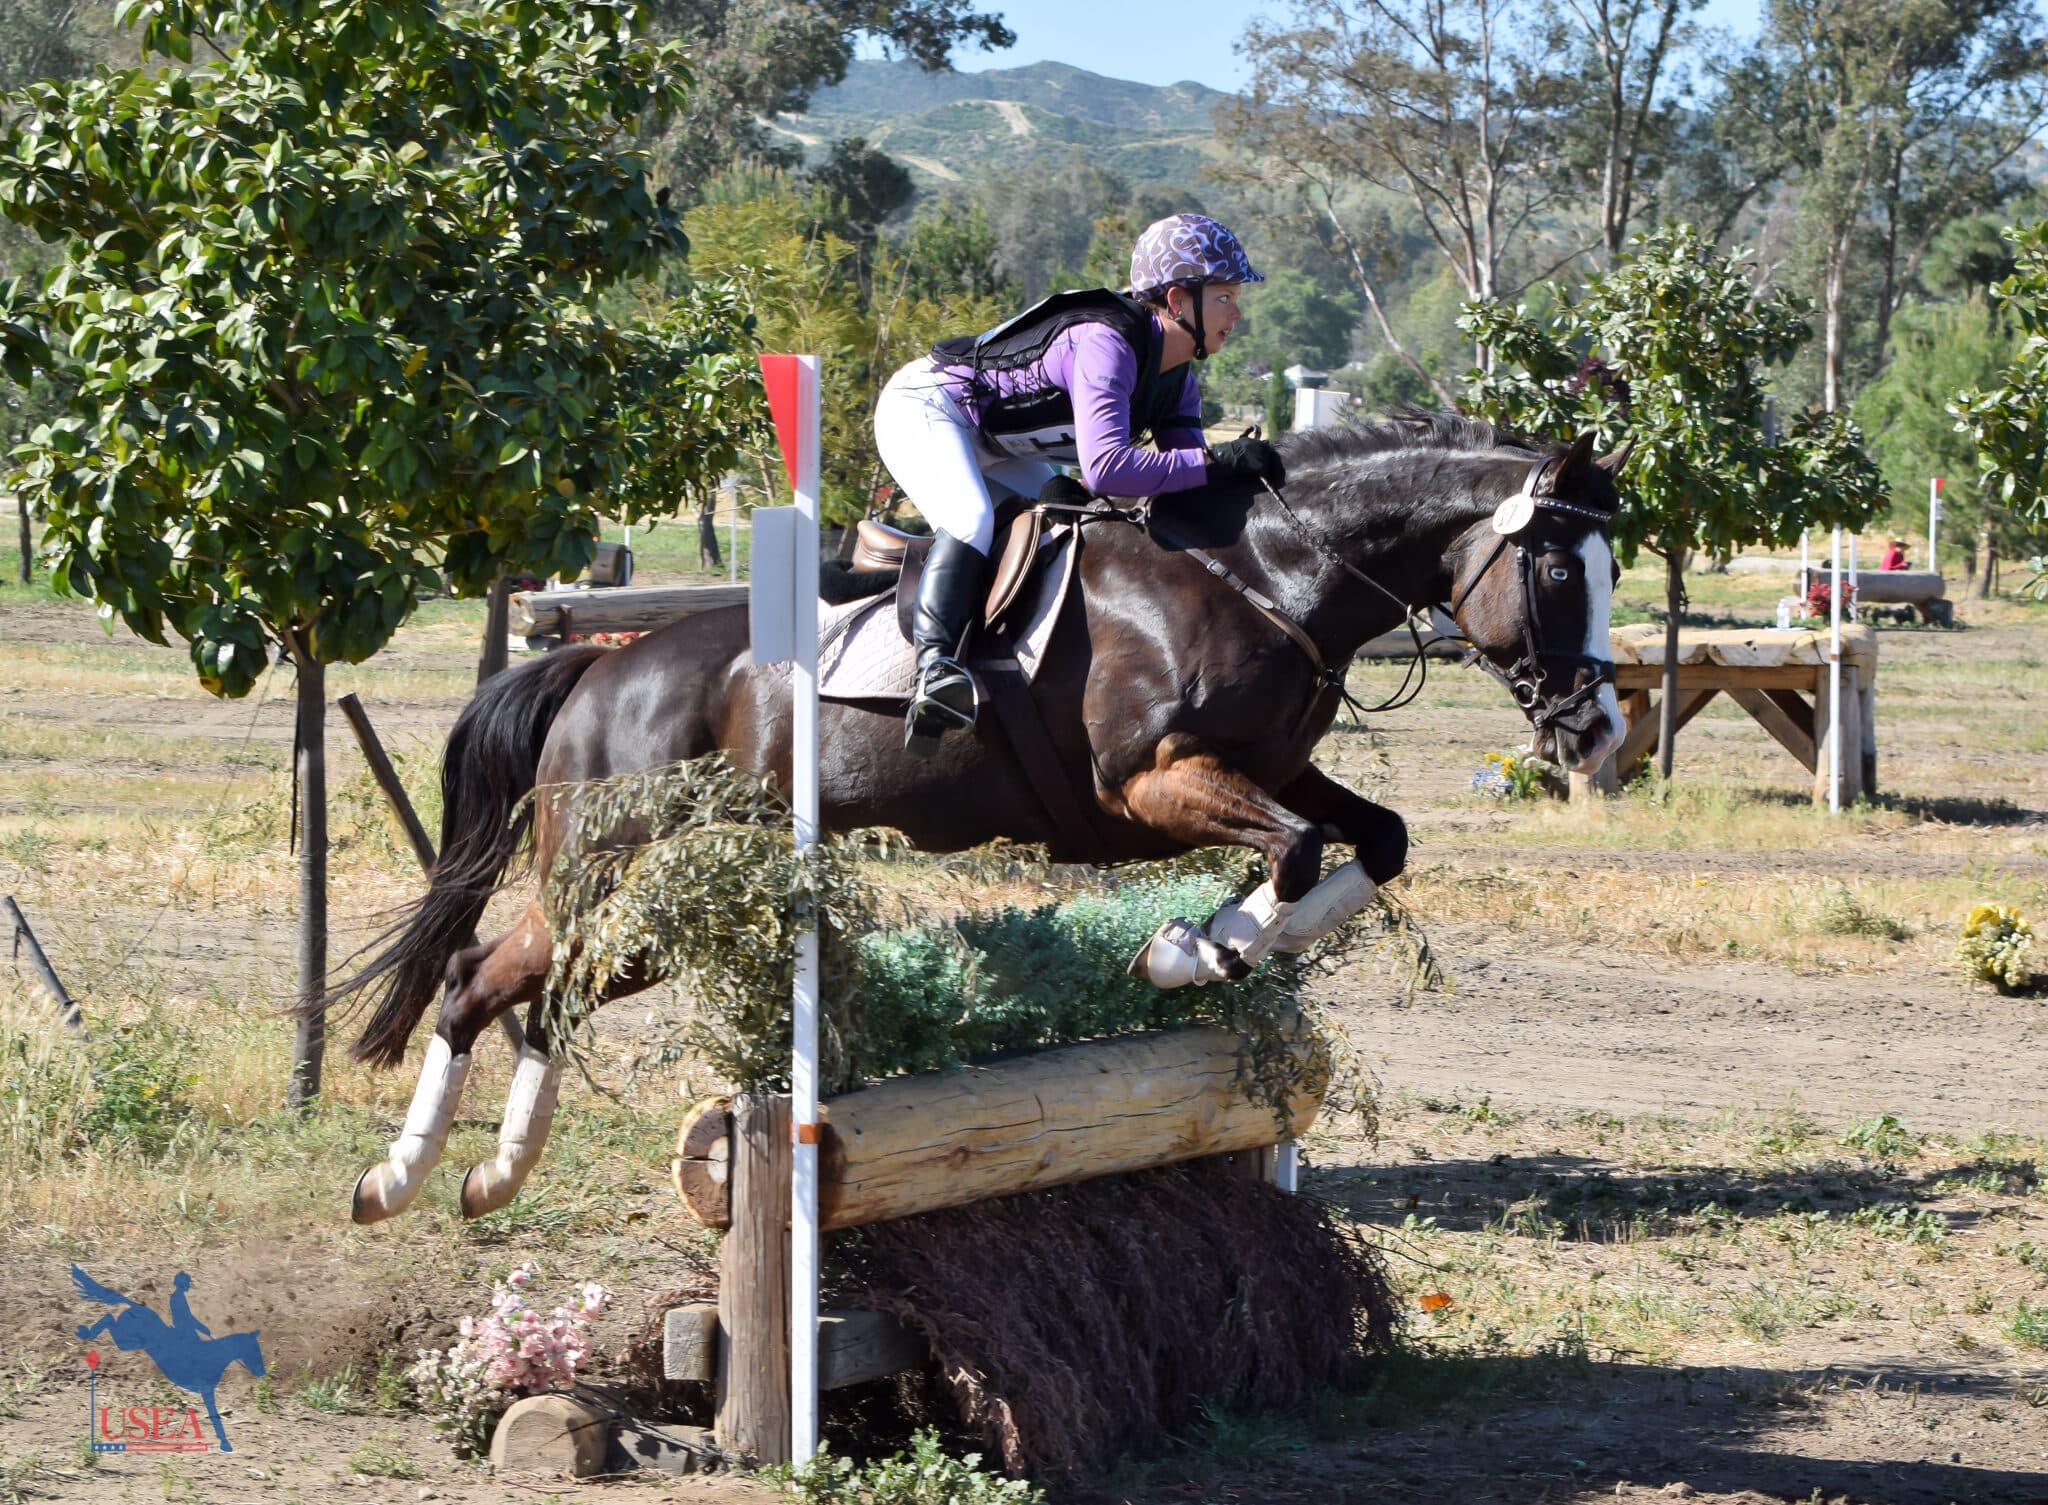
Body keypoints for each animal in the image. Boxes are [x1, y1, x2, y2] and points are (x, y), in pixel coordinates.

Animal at [336, 411, 1629, 1224]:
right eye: (1562, 572)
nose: (1598, 732)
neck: (1262, 575)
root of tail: (601, 668)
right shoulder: (1148, 784)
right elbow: (1299, 847)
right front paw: (1188, 948)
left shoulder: (1266, 767)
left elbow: (1372, 838)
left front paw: (1218, 939)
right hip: (623, 874)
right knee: (478, 980)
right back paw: (398, 1182)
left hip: (673, 899)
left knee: (535, 990)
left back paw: (484, 1177)